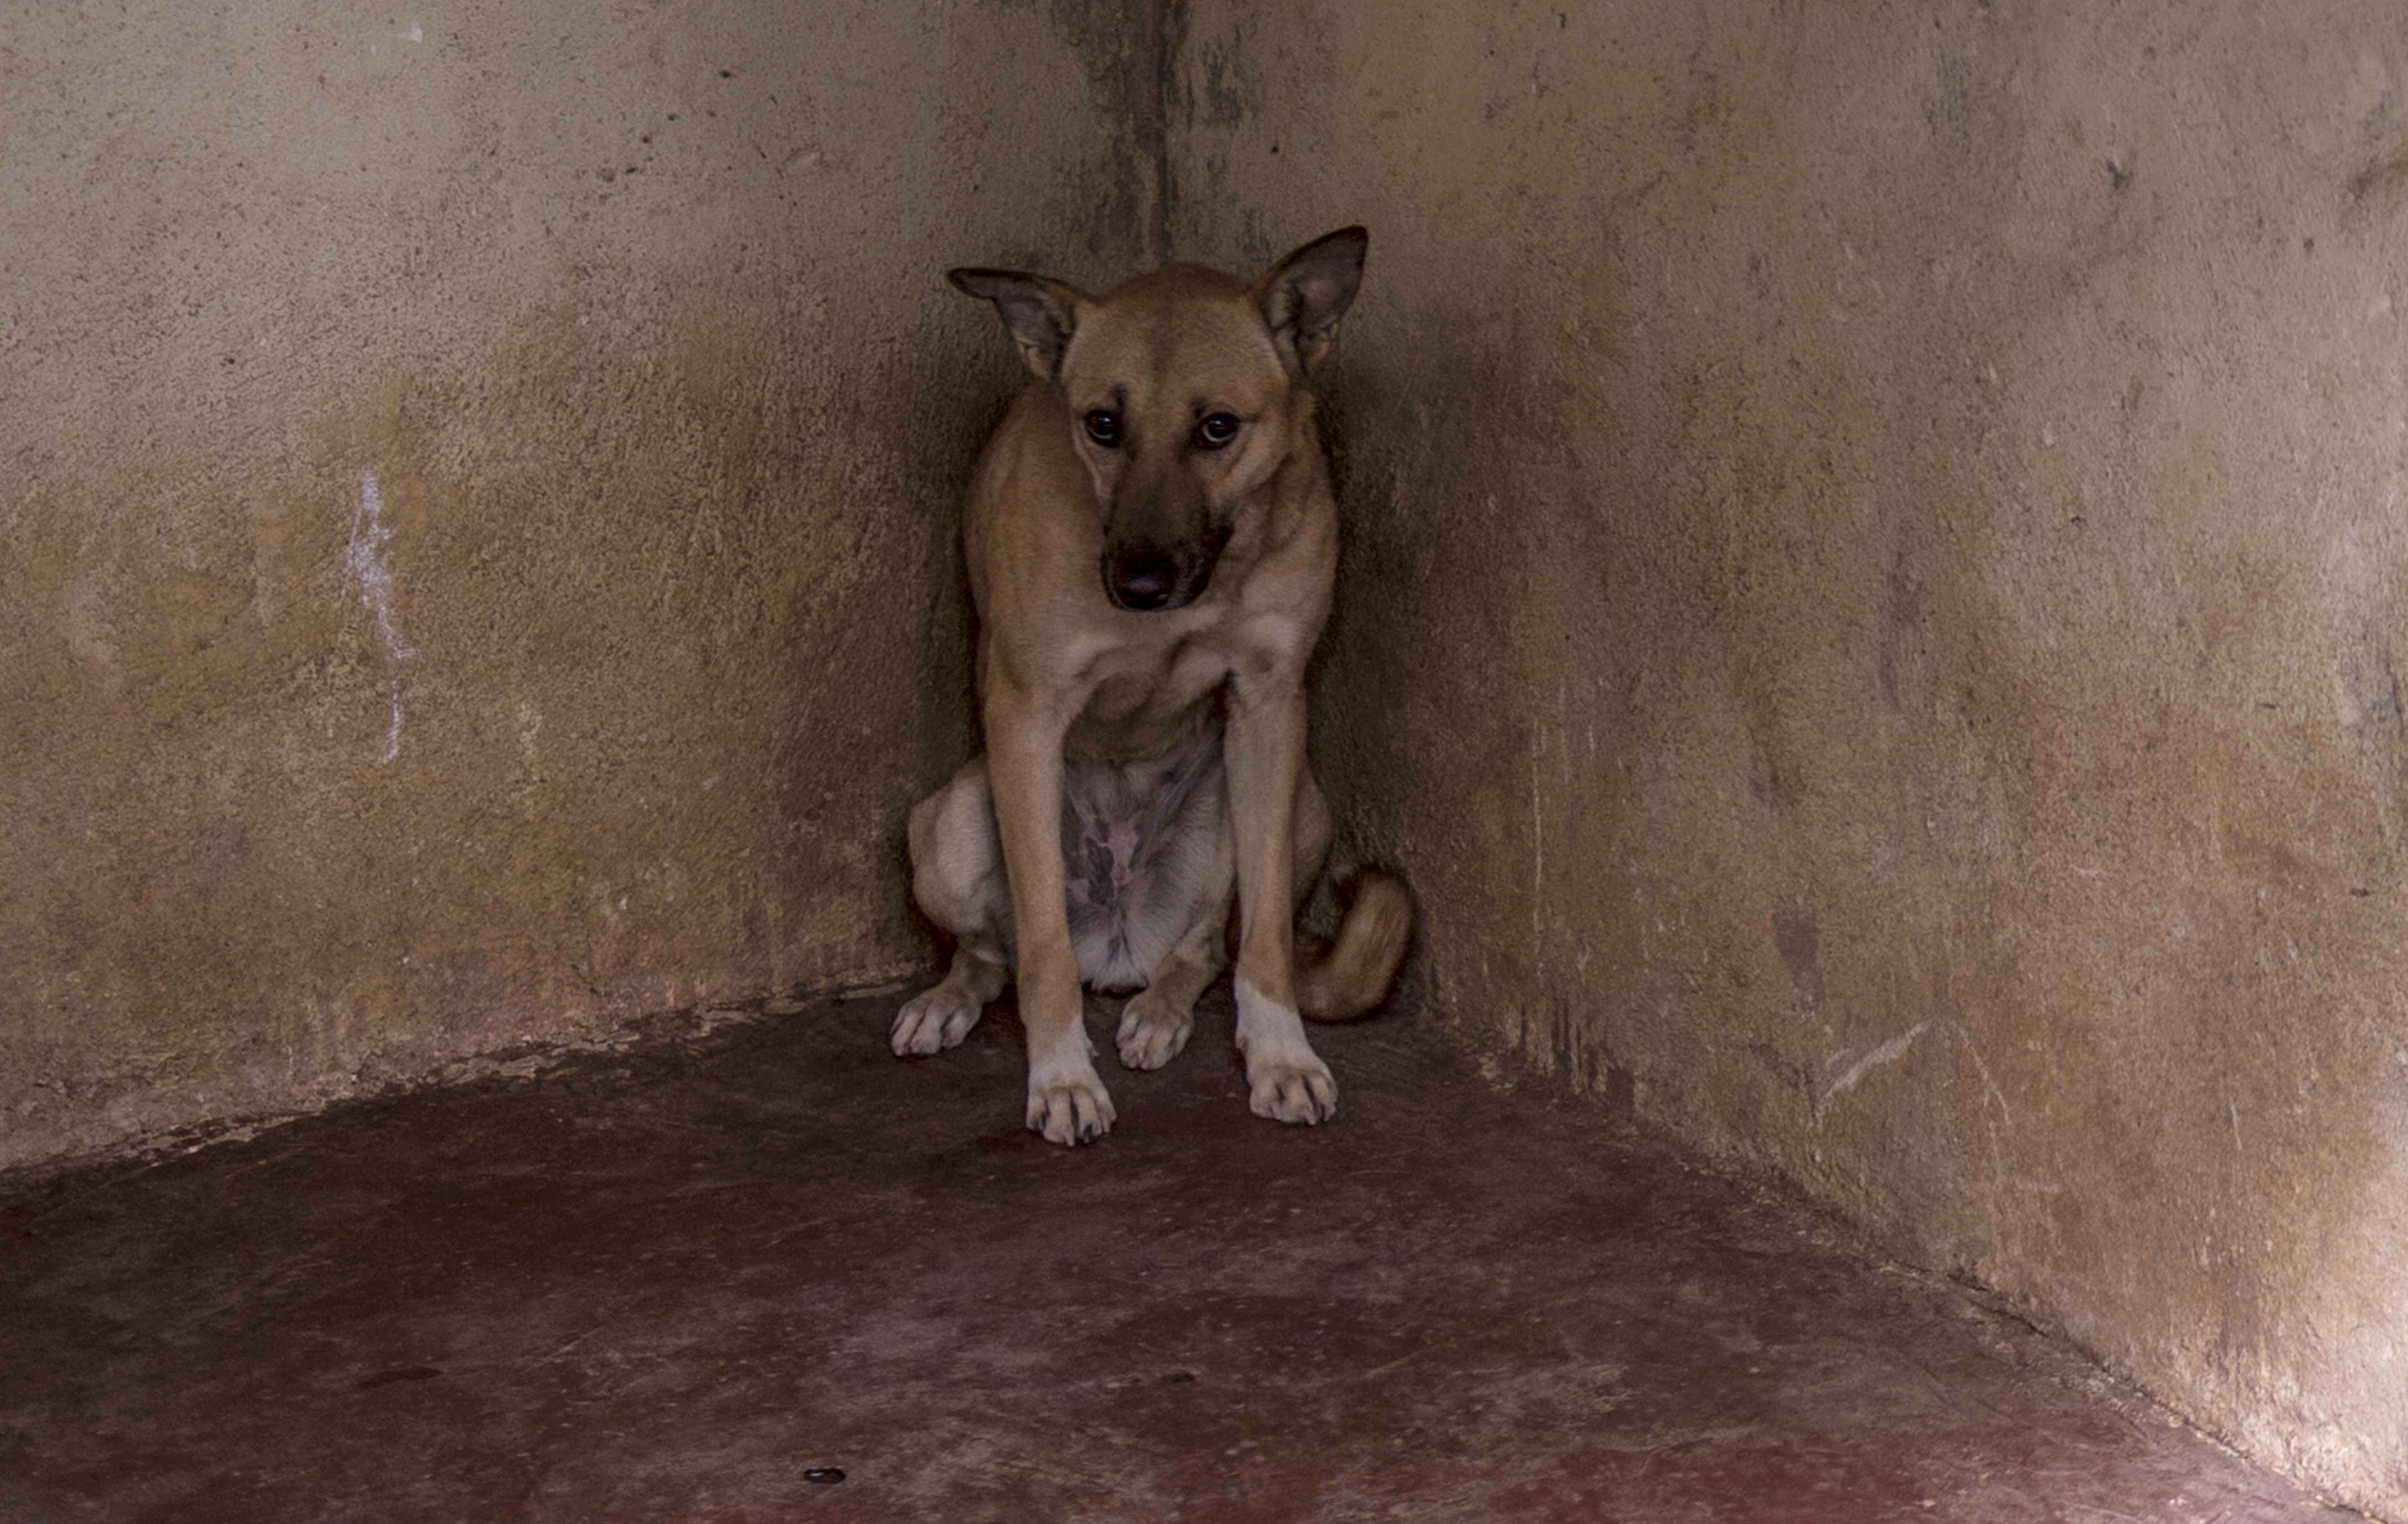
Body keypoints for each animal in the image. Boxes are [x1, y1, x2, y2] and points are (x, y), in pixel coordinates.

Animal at [895, 226, 1406, 1141]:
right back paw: (946, 1001)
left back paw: (1161, 1010)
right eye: (1102, 423)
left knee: (1202, 949)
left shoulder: (1270, 703)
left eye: (1217, 427)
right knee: (991, 954)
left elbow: (1266, 940)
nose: (1137, 584)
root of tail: (1119, 943)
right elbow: (1042, 950)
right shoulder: (1026, 713)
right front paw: (1061, 1076)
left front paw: (1280, 1054)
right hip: (948, 827)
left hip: (1302, 806)